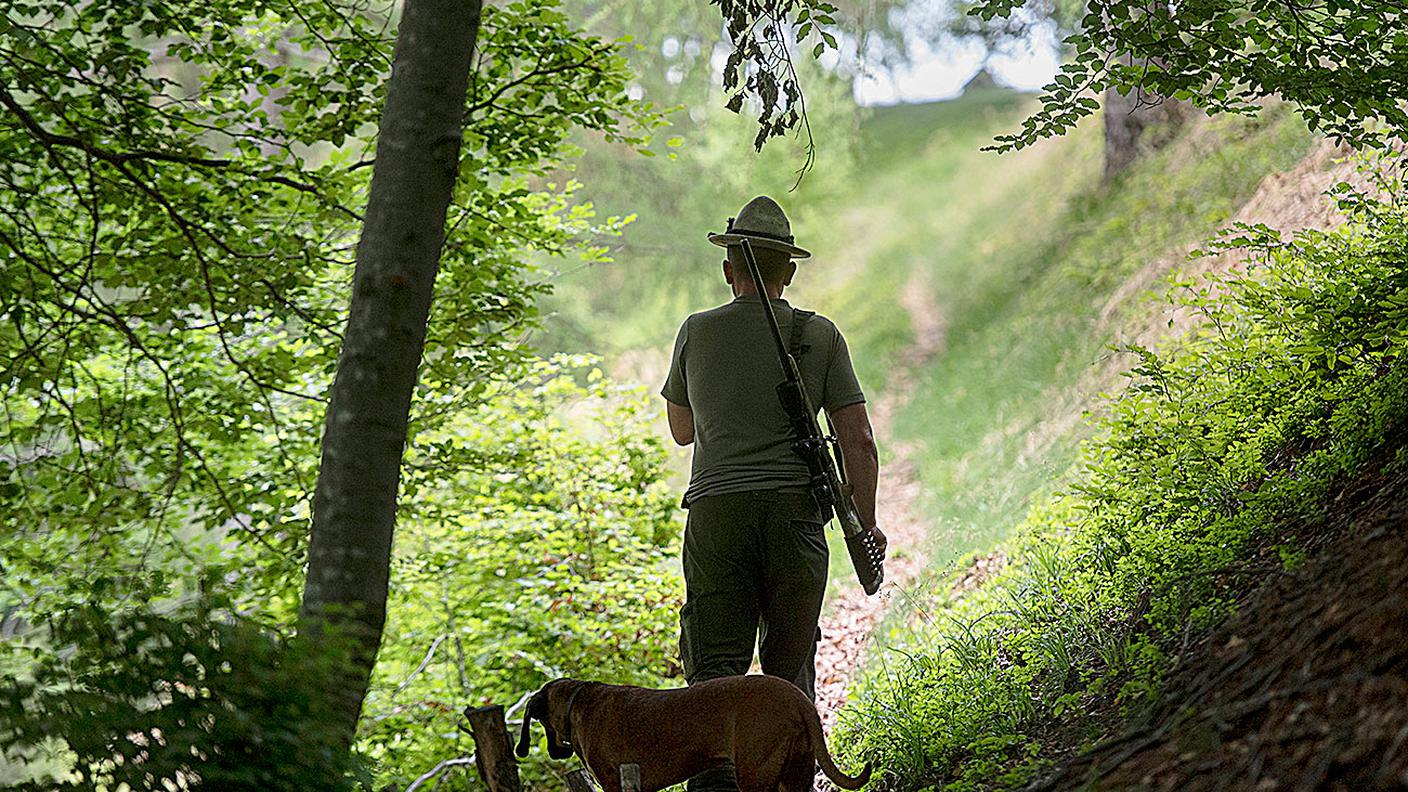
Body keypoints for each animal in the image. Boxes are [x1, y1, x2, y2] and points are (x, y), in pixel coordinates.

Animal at [518, 670, 867, 789]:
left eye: (541, 722)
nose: (553, 752)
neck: (578, 701)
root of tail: (797, 698)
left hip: (757, 774)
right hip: (795, 773)